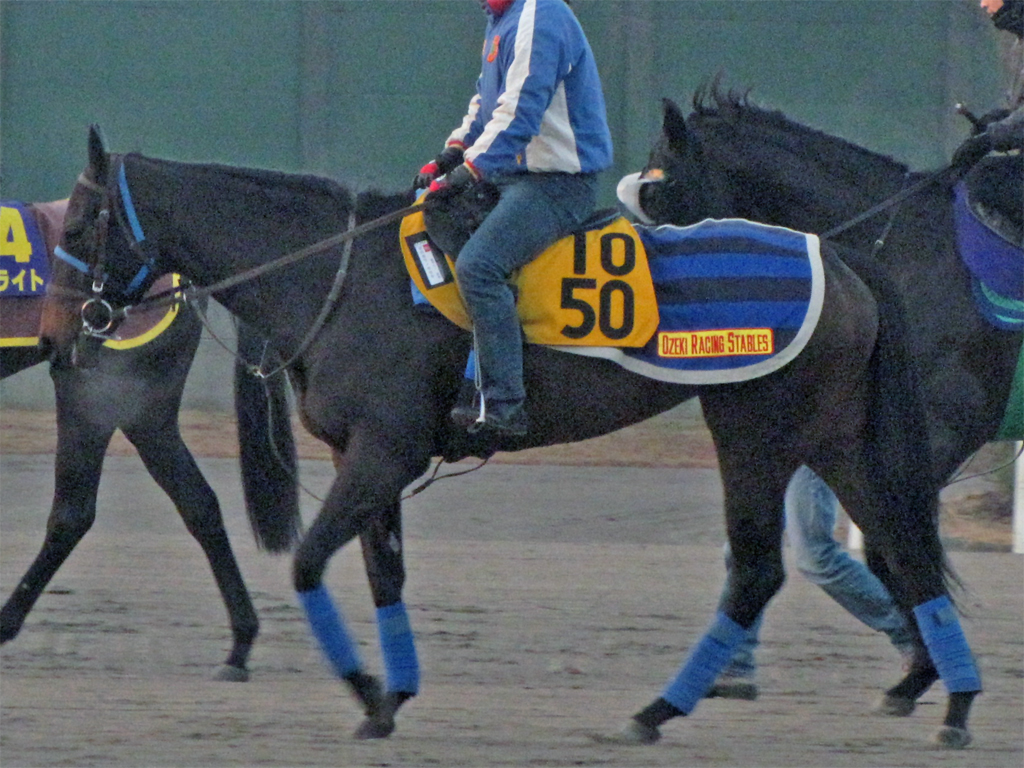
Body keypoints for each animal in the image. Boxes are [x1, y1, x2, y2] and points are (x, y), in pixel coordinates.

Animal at [39, 128, 978, 753]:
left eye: (79, 225)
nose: (64, 330)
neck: (337, 272)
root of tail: (840, 256)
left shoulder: (381, 454)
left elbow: (307, 563)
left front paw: (365, 687)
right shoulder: (368, 459)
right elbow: (384, 575)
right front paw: (391, 697)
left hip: (757, 432)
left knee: (758, 573)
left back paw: (656, 711)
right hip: (836, 440)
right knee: (904, 548)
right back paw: (954, 704)